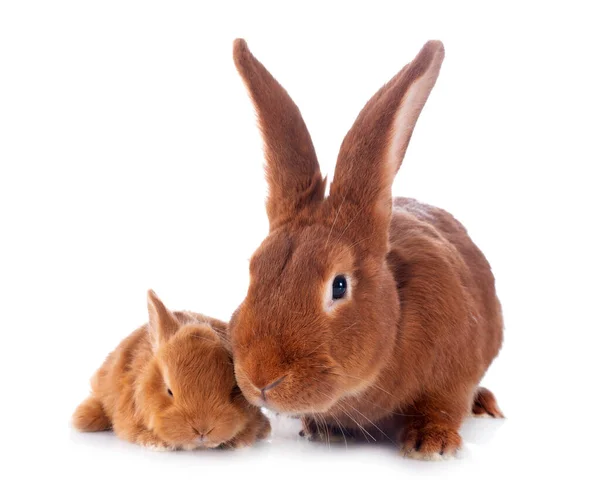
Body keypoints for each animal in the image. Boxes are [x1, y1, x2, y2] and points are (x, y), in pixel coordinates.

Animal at [227, 38, 504, 460]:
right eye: (253, 273)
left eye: (339, 285)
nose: (263, 379)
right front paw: (321, 430)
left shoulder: (455, 370)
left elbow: (443, 404)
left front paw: (431, 444)